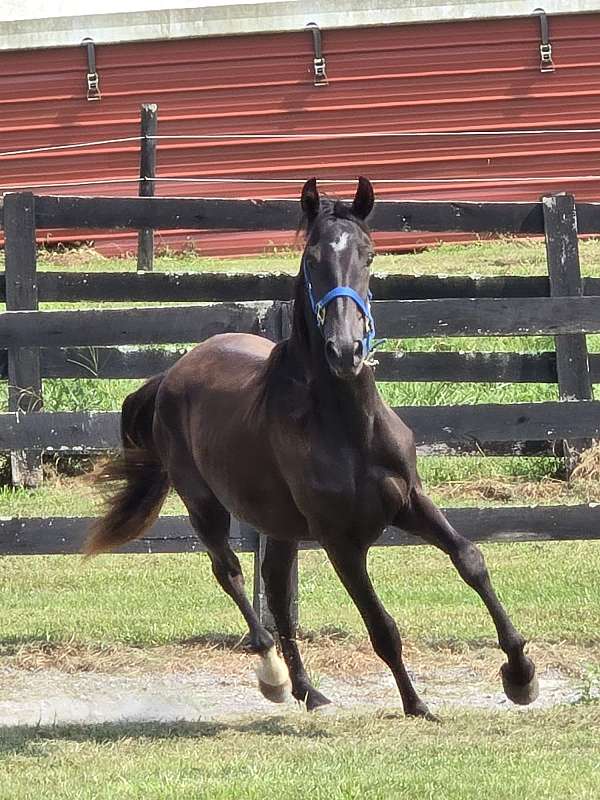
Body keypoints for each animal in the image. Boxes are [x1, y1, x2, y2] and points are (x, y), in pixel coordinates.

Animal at [86, 177, 538, 718]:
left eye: (369, 255)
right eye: (311, 258)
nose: (345, 351)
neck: (348, 428)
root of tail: (171, 374)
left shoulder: (410, 501)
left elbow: (470, 559)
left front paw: (521, 675)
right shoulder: (340, 540)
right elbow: (382, 628)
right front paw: (417, 705)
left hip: (280, 526)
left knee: (278, 593)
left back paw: (310, 691)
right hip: (205, 507)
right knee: (232, 574)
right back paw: (275, 677)